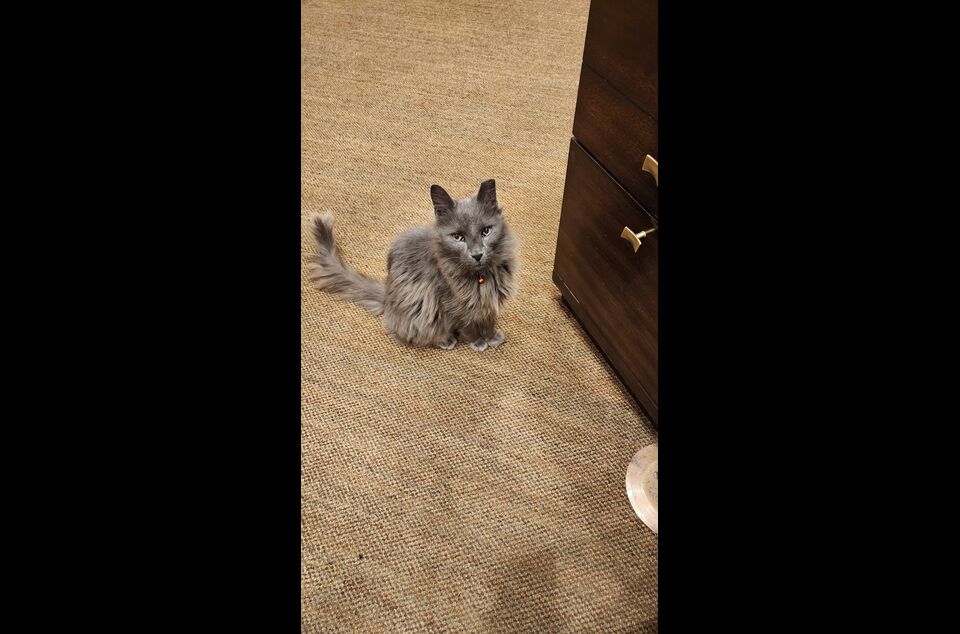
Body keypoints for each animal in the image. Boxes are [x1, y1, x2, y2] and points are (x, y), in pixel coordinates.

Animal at [305, 179, 518, 352]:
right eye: (458, 237)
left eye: (485, 231)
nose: (477, 254)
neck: (481, 277)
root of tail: (387, 296)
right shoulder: (453, 303)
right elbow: (469, 325)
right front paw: (478, 342)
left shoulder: (489, 300)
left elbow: (487, 320)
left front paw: (492, 337)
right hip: (419, 308)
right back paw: (446, 340)